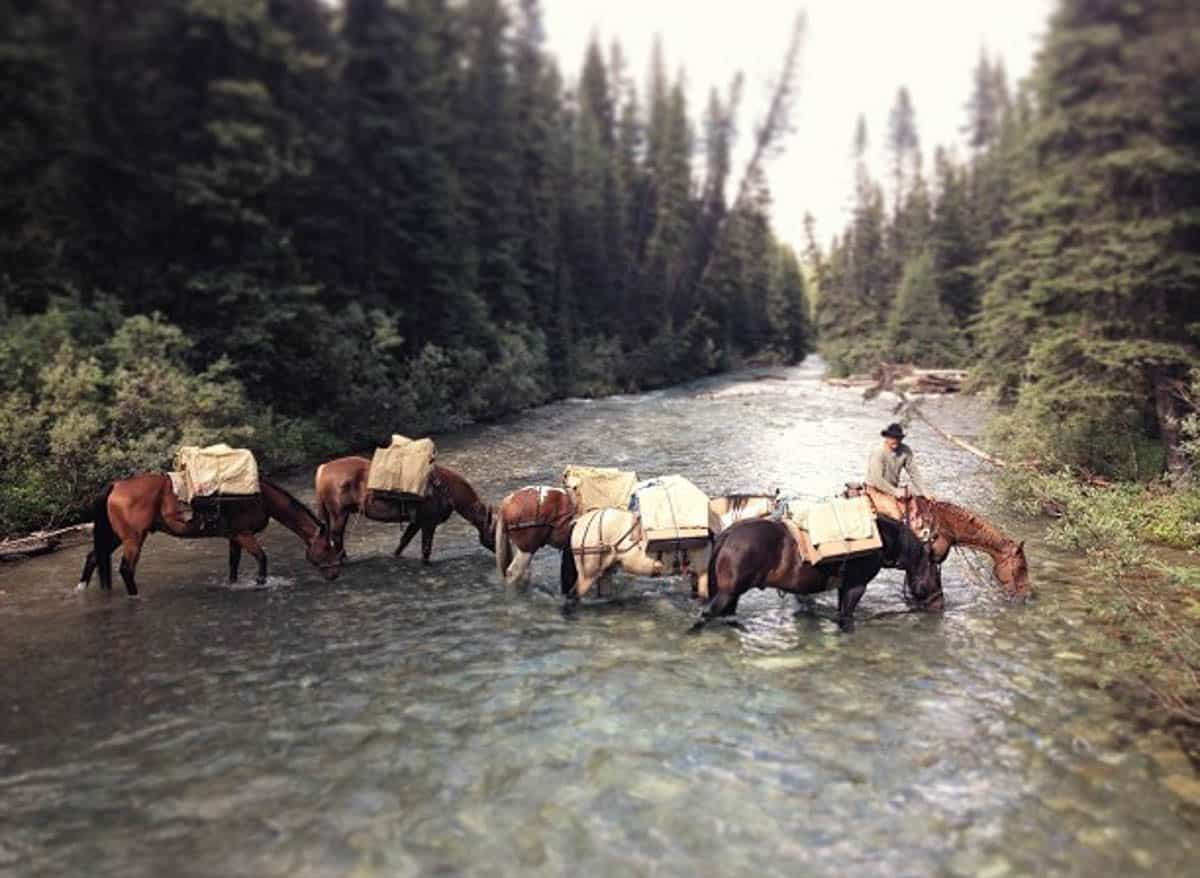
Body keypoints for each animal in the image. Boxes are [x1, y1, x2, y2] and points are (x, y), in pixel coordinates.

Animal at [75, 472, 340, 597]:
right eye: (327, 547)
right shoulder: (243, 534)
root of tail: (116, 486)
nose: (335, 574)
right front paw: (260, 583)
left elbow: (233, 565)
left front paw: (235, 585)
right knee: (126, 569)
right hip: (133, 538)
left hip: (114, 536)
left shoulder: (234, 536)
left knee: (93, 557)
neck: (259, 496)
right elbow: (262, 559)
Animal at [314, 460, 496, 561]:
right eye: (495, 532)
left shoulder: (417, 522)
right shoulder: (428, 523)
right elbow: (426, 550)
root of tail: (322, 469)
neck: (448, 491)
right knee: (336, 536)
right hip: (339, 513)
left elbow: (403, 542)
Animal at [700, 513, 940, 633]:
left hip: (732, 595)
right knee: (704, 616)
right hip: (727, 594)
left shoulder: (845, 587)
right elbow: (846, 618)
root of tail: (727, 535)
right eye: (936, 573)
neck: (881, 538)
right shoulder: (856, 587)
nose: (940, 604)